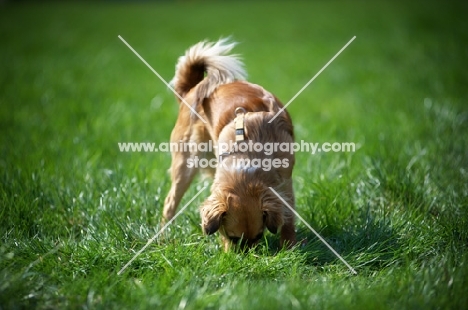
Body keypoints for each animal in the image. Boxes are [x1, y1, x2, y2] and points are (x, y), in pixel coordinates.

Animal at [163, 38, 296, 251]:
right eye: (231, 237)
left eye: (259, 236)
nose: (244, 256)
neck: (249, 151)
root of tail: (190, 90)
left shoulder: (286, 182)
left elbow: (289, 217)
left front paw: (289, 247)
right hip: (186, 163)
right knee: (169, 203)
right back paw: (162, 239)